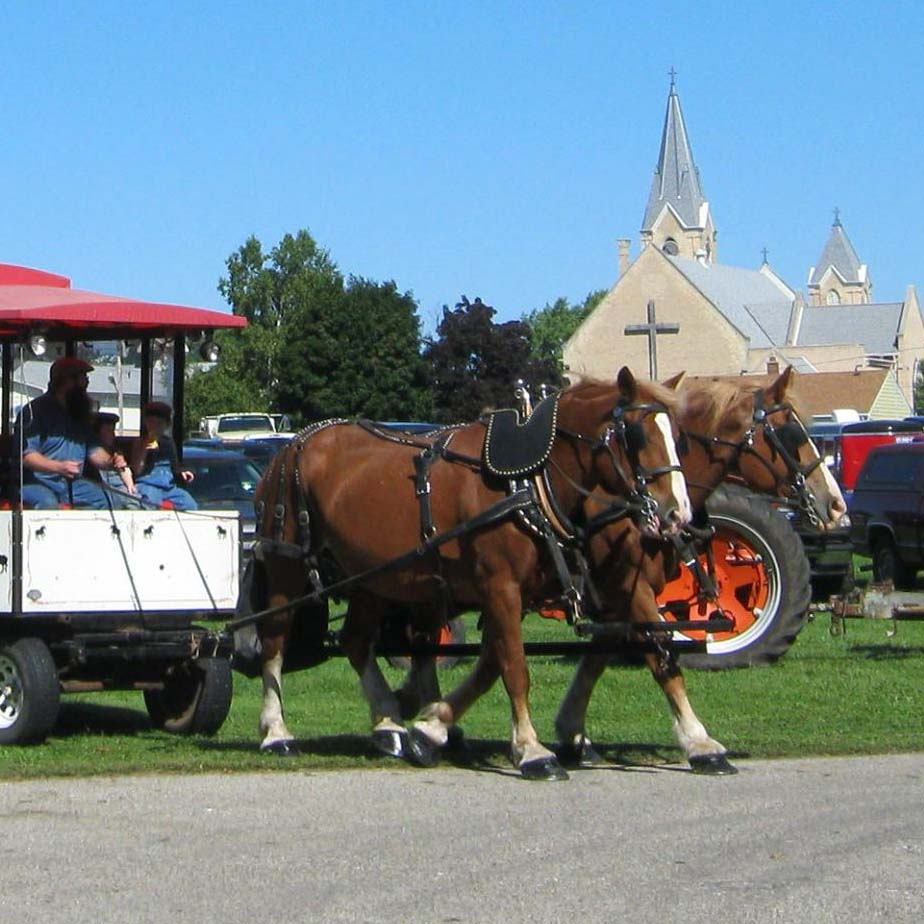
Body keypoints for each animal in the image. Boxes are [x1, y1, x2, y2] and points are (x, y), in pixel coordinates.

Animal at [249, 368, 688, 780]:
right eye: (637, 435)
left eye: (680, 439)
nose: (676, 514)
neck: (526, 481)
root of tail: (291, 446)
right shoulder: (500, 586)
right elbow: (515, 668)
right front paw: (533, 751)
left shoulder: (517, 594)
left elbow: (494, 663)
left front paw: (433, 728)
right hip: (288, 563)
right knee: (275, 640)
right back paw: (277, 733)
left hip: (370, 576)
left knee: (356, 641)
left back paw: (390, 724)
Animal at [552, 368, 848, 772]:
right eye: (791, 434)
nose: (836, 504)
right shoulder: (633, 589)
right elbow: (661, 658)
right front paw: (699, 742)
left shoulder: (619, 594)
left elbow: (598, 657)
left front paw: (572, 732)